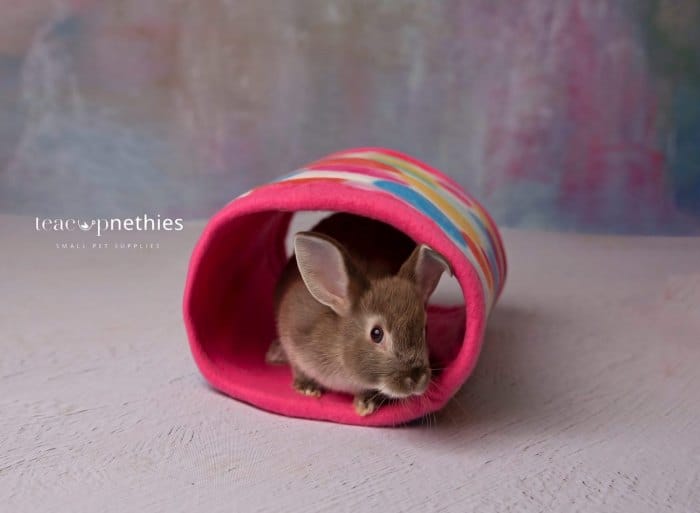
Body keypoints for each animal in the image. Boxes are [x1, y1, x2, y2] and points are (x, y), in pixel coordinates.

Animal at [267, 213, 451, 416]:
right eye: (376, 333)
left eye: (424, 330)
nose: (417, 380)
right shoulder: (294, 340)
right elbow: (297, 367)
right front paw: (307, 388)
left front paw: (365, 404)